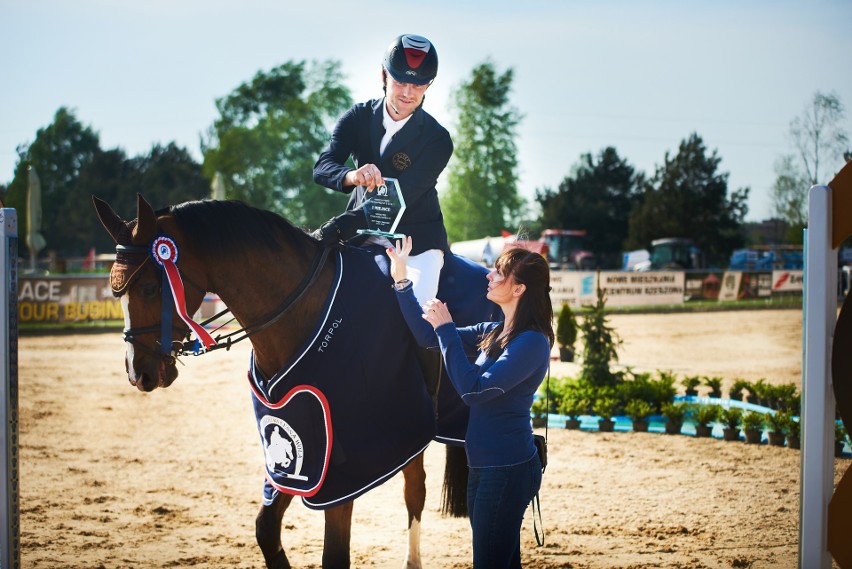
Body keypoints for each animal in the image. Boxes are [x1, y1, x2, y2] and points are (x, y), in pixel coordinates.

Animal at [93, 194, 496, 568]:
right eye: (116, 293)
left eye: (149, 288)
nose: (140, 373)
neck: (300, 307)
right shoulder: (295, 457)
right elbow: (266, 528)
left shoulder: (344, 468)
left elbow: (334, 554)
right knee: (418, 490)